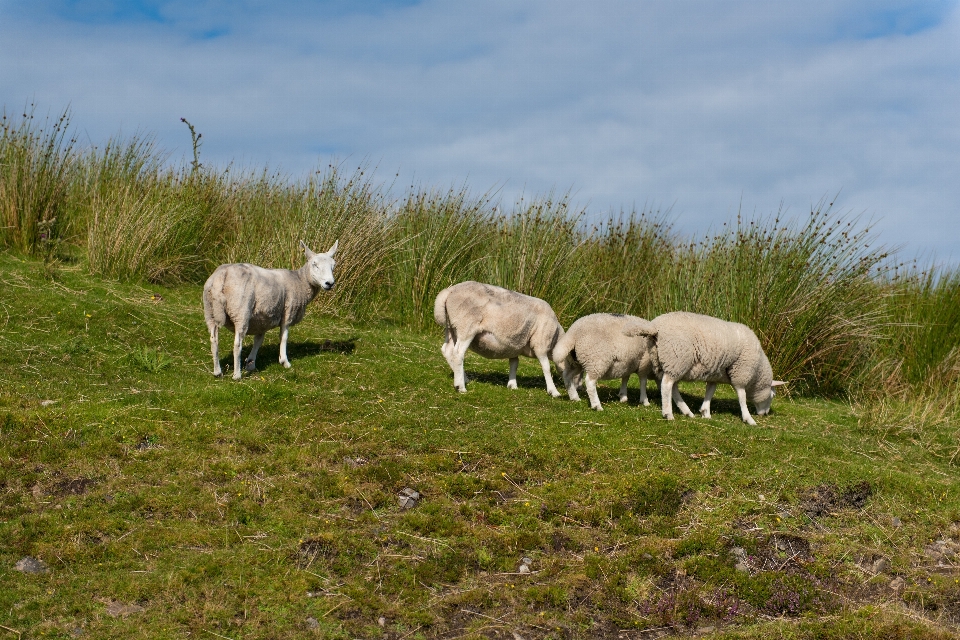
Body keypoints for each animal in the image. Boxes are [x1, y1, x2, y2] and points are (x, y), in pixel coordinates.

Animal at [201, 240, 340, 380]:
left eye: (333, 265)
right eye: (314, 264)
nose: (330, 283)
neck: (300, 281)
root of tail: (222, 276)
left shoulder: (262, 318)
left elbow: (258, 341)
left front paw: (250, 364)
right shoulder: (288, 312)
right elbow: (283, 337)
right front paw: (284, 361)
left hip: (210, 311)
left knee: (214, 340)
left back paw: (217, 372)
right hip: (240, 311)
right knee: (237, 344)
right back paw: (237, 375)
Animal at [434, 282, 568, 396]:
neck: (556, 339)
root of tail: (449, 290)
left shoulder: (514, 345)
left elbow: (514, 363)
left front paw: (512, 385)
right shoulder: (540, 343)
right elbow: (546, 367)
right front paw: (553, 391)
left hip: (451, 327)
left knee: (447, 351)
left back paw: (463, 378)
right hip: (466, 326)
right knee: (457, 353)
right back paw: (460, 386)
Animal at [644, 312, 788, 424]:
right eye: (773, 395)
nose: (765, 413)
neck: (757, 372)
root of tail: (655, 327)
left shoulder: (715, 375)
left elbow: (710, 391)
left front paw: (705, 412)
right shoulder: (741, 372)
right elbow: (742, 396)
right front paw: (748, 418)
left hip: (668, 362)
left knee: (672, 387)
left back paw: (686, 411)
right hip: (676, 358)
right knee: (667, 385)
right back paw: (668, 413)